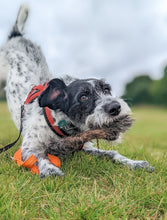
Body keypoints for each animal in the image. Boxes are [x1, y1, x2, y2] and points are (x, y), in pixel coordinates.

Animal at [0, 4, 154, 177]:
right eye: (83, 97)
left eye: (107, 89)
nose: (115, 107)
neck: (61, 125)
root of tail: (16, 37)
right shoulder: (29, 147)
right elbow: (37, 159)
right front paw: (50, 170)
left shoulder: (85, 146)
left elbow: (113, 154)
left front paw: (135, 163)